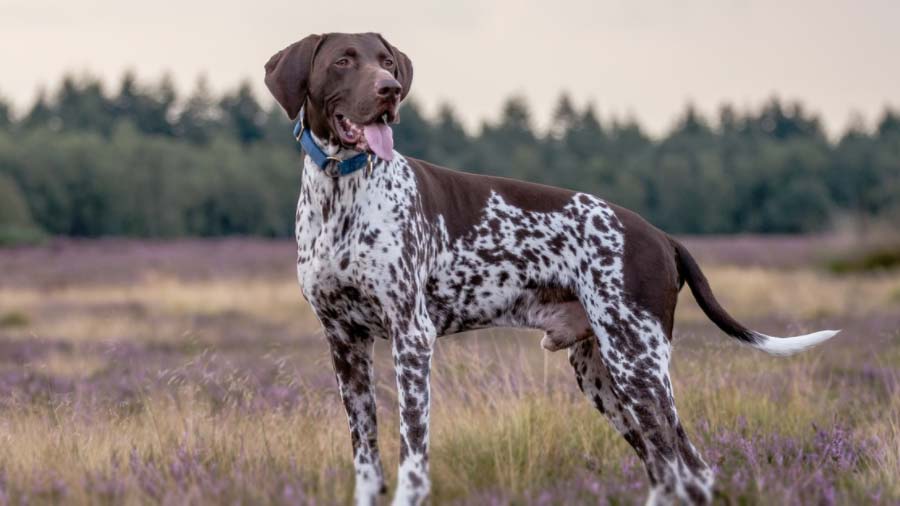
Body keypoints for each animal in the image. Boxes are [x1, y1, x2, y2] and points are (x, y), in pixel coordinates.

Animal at [264, 32, 840, 506]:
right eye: (343, 60)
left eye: (386, 62)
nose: (390, 90)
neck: (341, 194)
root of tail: (661, 237)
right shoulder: (345, 344)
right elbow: (367, 461)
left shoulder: (411, 339)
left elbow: (412, 461)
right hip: (602, 375)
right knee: (664, 471)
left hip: (639, 367)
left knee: (690, 470)